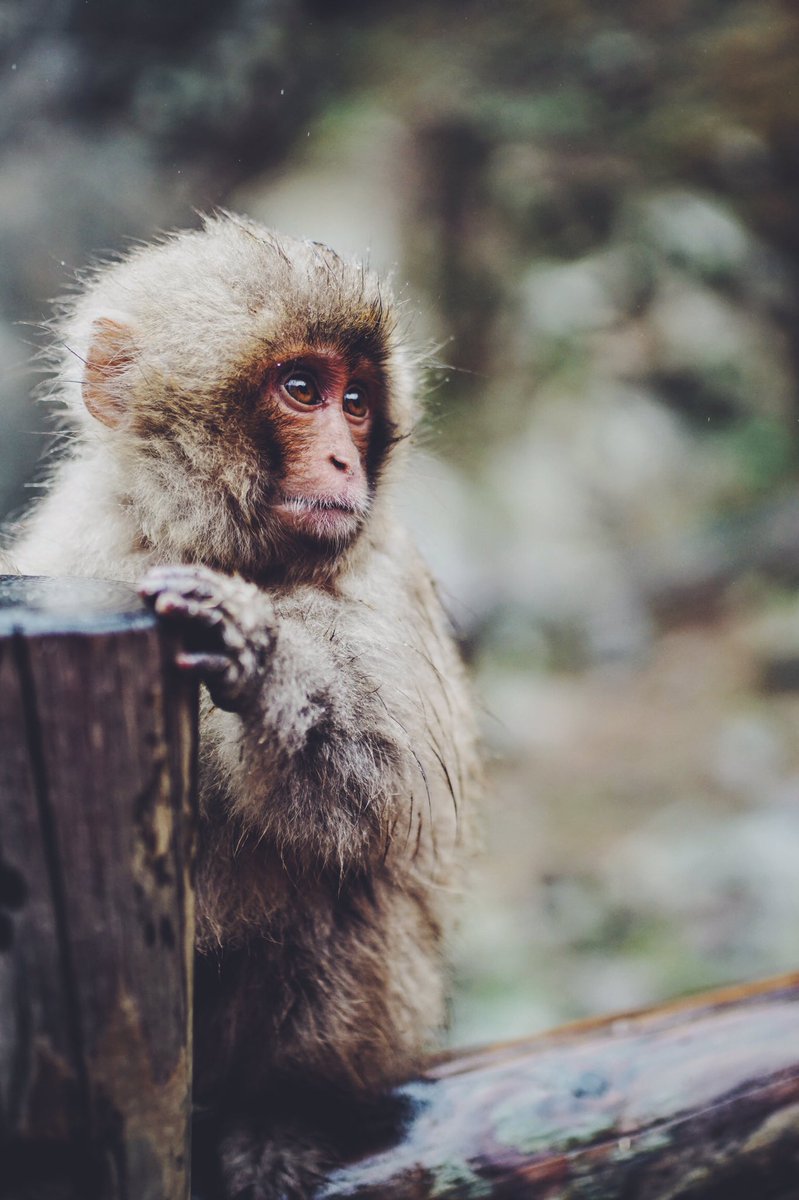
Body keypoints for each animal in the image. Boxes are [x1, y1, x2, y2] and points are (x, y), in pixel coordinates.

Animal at [4, 213, 479, 1199]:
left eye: (357, 401)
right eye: (302, 390)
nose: (342, 458)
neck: (215, 544)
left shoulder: (376, 575)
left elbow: (389, 790)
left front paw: (256, 661)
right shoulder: (73, 549)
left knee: (338, 887)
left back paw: (284, 1111)